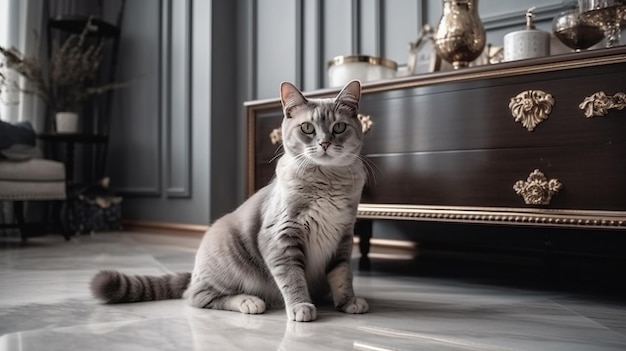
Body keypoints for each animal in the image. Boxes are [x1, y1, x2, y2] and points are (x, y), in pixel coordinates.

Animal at [90, 80, 368, 322]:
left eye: (339, 128)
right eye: (307, 128)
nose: (325, 143)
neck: (327, 181)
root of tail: (195, 272)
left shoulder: (342, 237)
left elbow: (343, 275)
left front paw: (347, 302)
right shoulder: (280, 236)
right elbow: (292, 278)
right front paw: (301, 306)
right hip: (228, 254)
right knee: (198, 296)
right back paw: (249, 301)